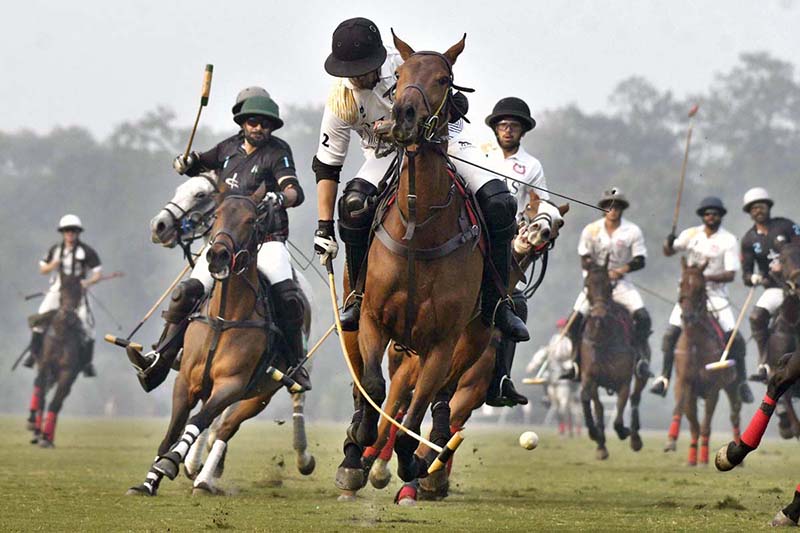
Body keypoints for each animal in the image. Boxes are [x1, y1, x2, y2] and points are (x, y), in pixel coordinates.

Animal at [26, 274, 88, 444]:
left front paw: (46, 438)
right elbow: (41, 396)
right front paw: (35, 429)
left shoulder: (68, 373)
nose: (67, 315)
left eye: (79, 292)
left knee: (55, 400)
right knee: (40, 392)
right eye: (62, 289)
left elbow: (56, 403)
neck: (61, 334)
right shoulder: (45, 366)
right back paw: (35, 428)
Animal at [126, 185, 302, 496]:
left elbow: (197, 421)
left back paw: (204, 480)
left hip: (258, 396)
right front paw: (149, 481)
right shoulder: (186, 380)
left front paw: (171, 461)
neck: (223, 317)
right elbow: (173, 429)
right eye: (217, 215)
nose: (217, 254)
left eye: (251, 220)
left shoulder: (231, 384)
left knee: (224, 428)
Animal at [664, 256, 740, 462]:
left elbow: (705, 425)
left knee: (734, 414)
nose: (688, 316)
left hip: (732, 386)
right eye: (681, 283)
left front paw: (704, 459)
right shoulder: (684, 383)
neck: (695, 343)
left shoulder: (713, 389)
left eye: (700, 288)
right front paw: (675, 444)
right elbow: (687, 418)